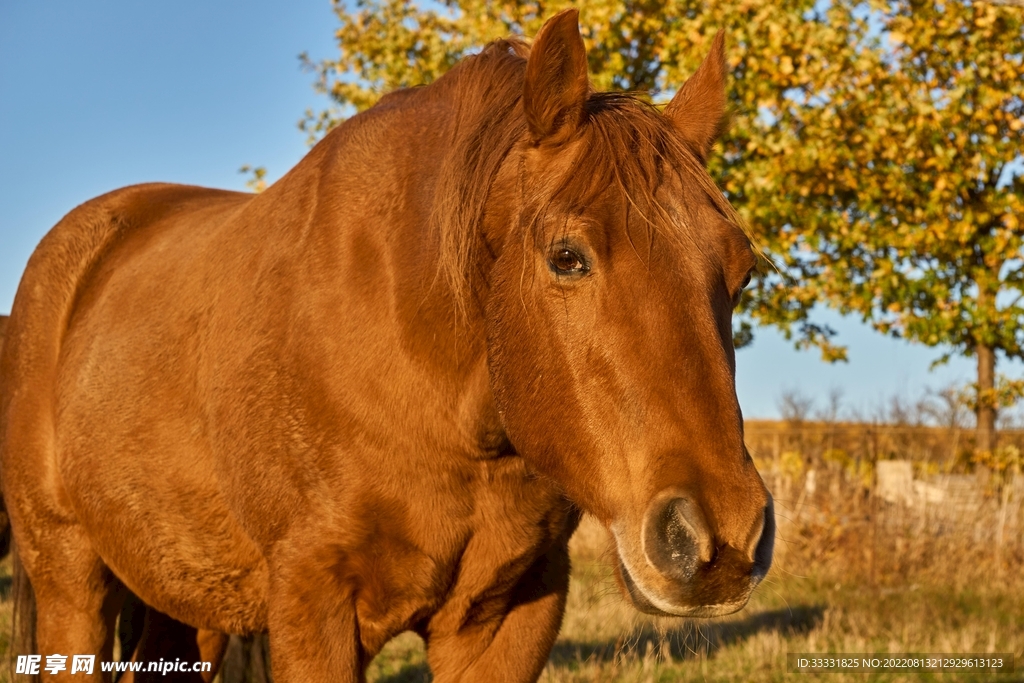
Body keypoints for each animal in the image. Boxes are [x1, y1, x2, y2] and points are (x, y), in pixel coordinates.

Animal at [0, 9, 774, 682]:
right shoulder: (314, 606)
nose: (722, 538)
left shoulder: (508, 617)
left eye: (740, 270)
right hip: (70, 576)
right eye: (567, 257)